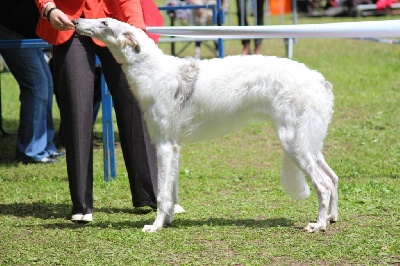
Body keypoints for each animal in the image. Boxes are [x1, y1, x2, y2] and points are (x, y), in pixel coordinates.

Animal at [74, 17, 338, 233]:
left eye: (105, 22)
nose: (76, 22)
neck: (153, 72)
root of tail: (320, 80)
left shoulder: (164, 145)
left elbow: (162, 194)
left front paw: (155, 226)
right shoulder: (174, 148)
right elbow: (171, 192)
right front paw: (168, 221)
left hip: (294, 142)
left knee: (324, 185)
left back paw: (319, 225)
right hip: (307, 142)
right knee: (333, 178)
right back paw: (332, 218)